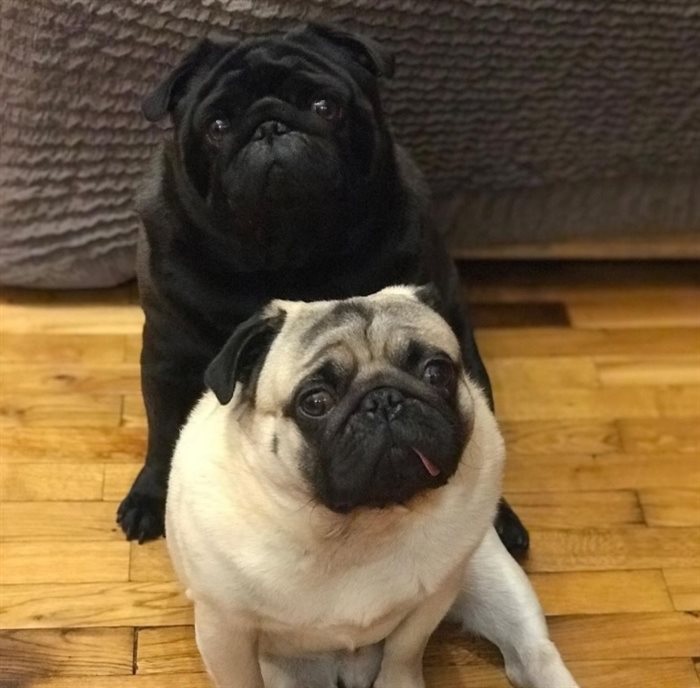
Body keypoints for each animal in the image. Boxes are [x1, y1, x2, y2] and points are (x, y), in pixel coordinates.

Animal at [118, 22, 528, 555]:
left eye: (324, 106)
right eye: (218, 126)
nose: (270, 126)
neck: (291, 253)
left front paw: (497, 518)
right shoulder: (169, 356)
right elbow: (164, 431)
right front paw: (151, 496)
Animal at [166, 286, 579, 688]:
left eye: (436, 372)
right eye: (315, 401)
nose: (384, 399)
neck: (359, 529)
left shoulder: (434, 599)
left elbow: (404, 650)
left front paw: (398, 681)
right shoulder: (224, 631)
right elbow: (242, 679)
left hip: (498, 581)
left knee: (533, 656)